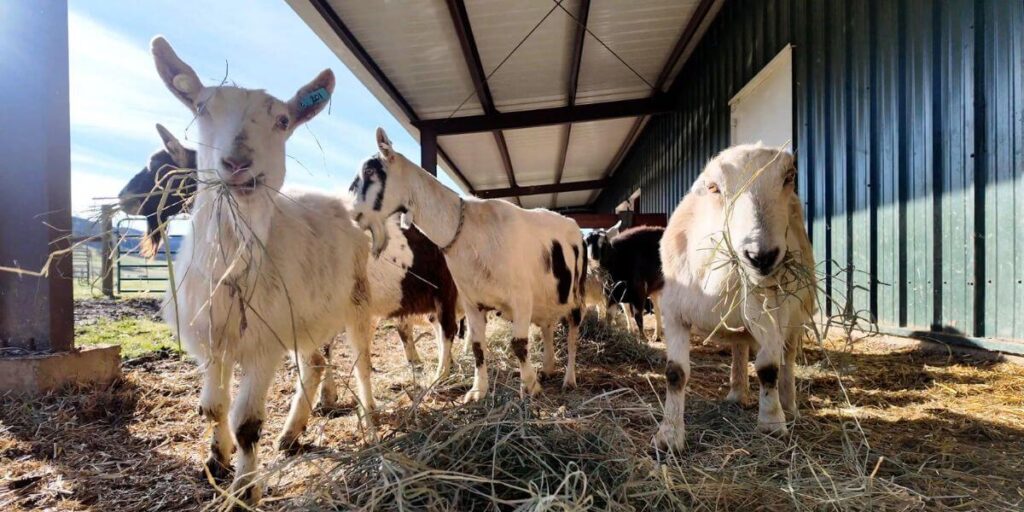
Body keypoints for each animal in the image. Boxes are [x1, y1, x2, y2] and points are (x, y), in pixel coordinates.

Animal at [151, 37, 371, 504]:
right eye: (201, 107)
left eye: (284, 120)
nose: (237, 163)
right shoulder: (210, 341)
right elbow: (213, 407)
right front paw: (216, 460)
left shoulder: (263, 345)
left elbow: (247, 424)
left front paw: (244, 492)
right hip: (307, 315)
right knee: (315, 364)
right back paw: (291, 433)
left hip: (358, 298)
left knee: (362, 363)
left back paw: (371, 418)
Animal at [349, 128, 587, 401]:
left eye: (370, 171)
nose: (350, 214)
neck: (469, 230)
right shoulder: (472, 301)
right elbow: (476, 346)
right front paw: (477, 390)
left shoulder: (520, 298)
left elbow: (518, 344)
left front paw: (529, 386)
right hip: (546, 299)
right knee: (547, 327)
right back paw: (547, 368)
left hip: (576, 296)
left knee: (572, 336)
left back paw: (569, 379)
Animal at [653, 144, 816, 451]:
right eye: (713, 187)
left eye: (789, 176)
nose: (761, 256)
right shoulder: (674, 311)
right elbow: (675, 373)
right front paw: (668, 436)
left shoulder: (769, 310)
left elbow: (768, 368)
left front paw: (772, 423)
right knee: (740, 346)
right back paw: (737, 393)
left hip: (795, 315)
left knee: (788, 358)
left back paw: (789, 406)